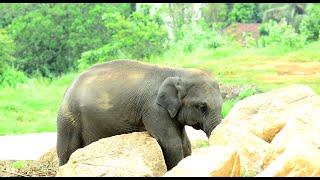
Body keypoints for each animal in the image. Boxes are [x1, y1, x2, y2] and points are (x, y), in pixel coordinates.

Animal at [57, 59, 222, 171]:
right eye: (202, 107)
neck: (176, 72)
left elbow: (185, 143)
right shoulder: (154, 109)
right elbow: (172, 143)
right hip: (69, 119)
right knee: (66, 151)